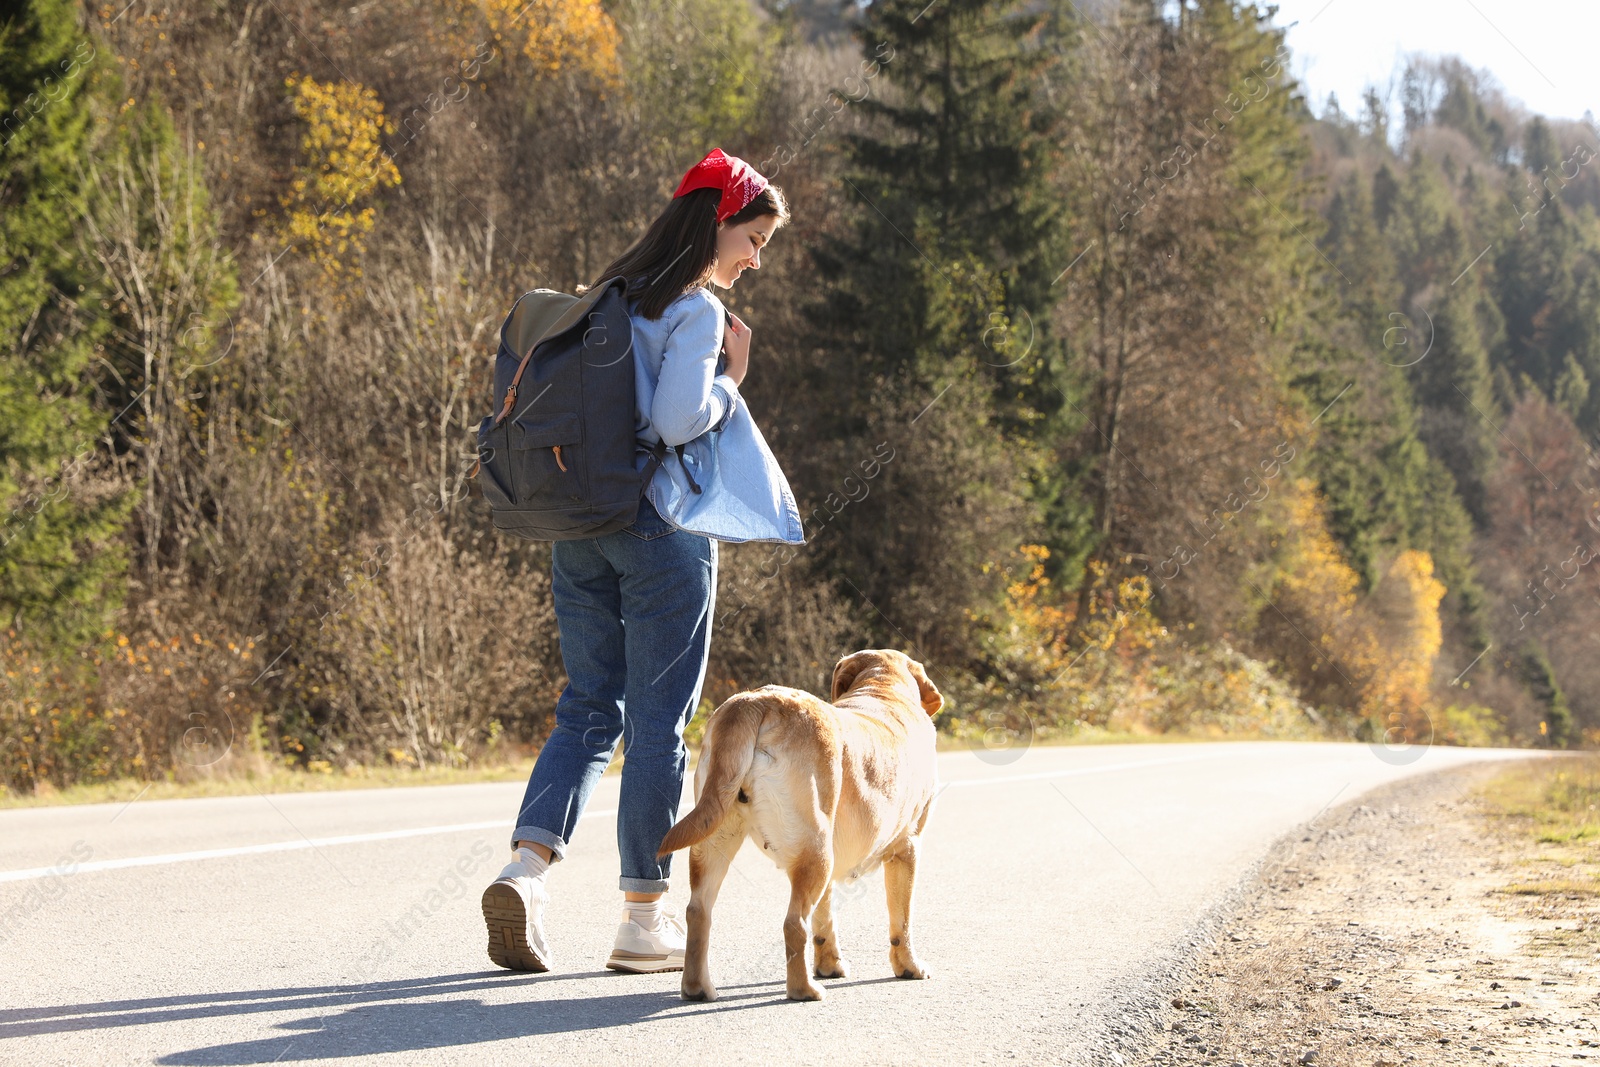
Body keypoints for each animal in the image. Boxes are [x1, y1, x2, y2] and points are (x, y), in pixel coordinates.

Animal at [656, 646, 940, 1004]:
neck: (883, 688)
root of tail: (755, 701)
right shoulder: (908, 848)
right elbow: (902, 921)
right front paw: (909, 966)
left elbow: (825, 920)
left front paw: (830, 964)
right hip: (815, 852)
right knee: (794, 924)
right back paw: (803, 989)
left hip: (717, 838)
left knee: (698, 910)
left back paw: (698, 987)